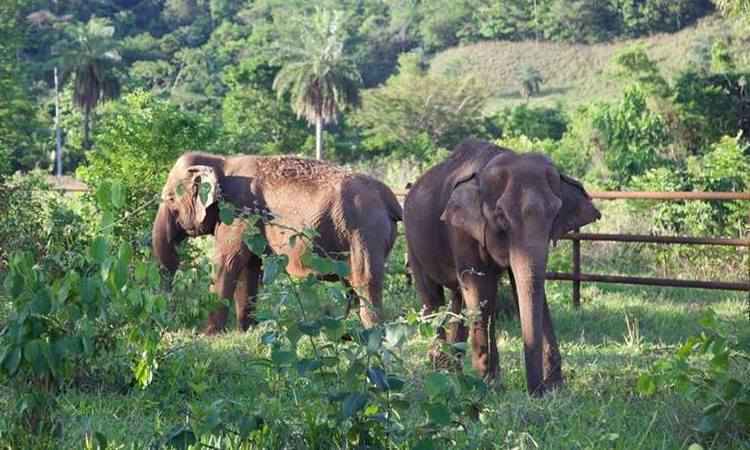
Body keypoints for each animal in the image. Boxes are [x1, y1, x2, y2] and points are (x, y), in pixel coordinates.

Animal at [152, 153, 406, 332]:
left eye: (170, 199)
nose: (168, 318)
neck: (221, 161)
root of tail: (390, 199)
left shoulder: (239, 213)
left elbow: (228, 262)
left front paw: (210, 335)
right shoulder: (249, 221)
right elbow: (250, 267)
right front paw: (246, 331)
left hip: (365, 230)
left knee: (365, 280)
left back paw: (373, 331)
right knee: (351, 284)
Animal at [402, 139, 604, 396]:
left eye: (555, 214)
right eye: (501, 216)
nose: (536, 392)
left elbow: (525, 285)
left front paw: (555, 388)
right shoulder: (462, 230)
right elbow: (480, 288)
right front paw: (490, 385)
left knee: (457, 296)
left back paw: (454, 368)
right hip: (412, 240)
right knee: (432, 297)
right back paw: (441, 368)